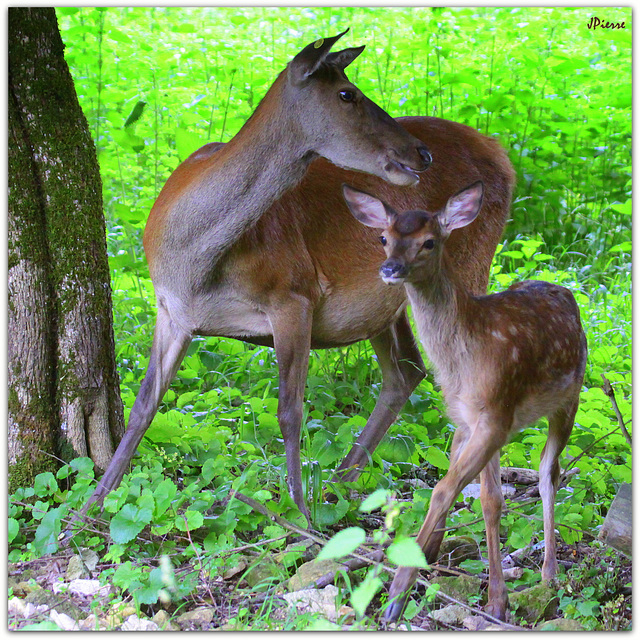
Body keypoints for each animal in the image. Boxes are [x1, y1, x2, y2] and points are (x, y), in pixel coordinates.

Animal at [79, 27, 430, 524]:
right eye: (347, 94)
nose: (423, 152)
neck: (192, 259)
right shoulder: (171, 310)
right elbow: (144, 404)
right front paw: (89, 508)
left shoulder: (294, 295)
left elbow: (290, 411)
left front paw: (300, 514)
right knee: (411, 369)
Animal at [342, 182, 588, 624]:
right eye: (383, 237)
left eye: (429, 241)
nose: (390, 269)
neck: (463, 358)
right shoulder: (469, 421)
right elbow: (488, 501)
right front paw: (488, 594)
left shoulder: (495, 414)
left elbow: (442, 490)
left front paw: (398, 594)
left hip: (569, 398)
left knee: (549, 474)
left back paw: (549, 573)